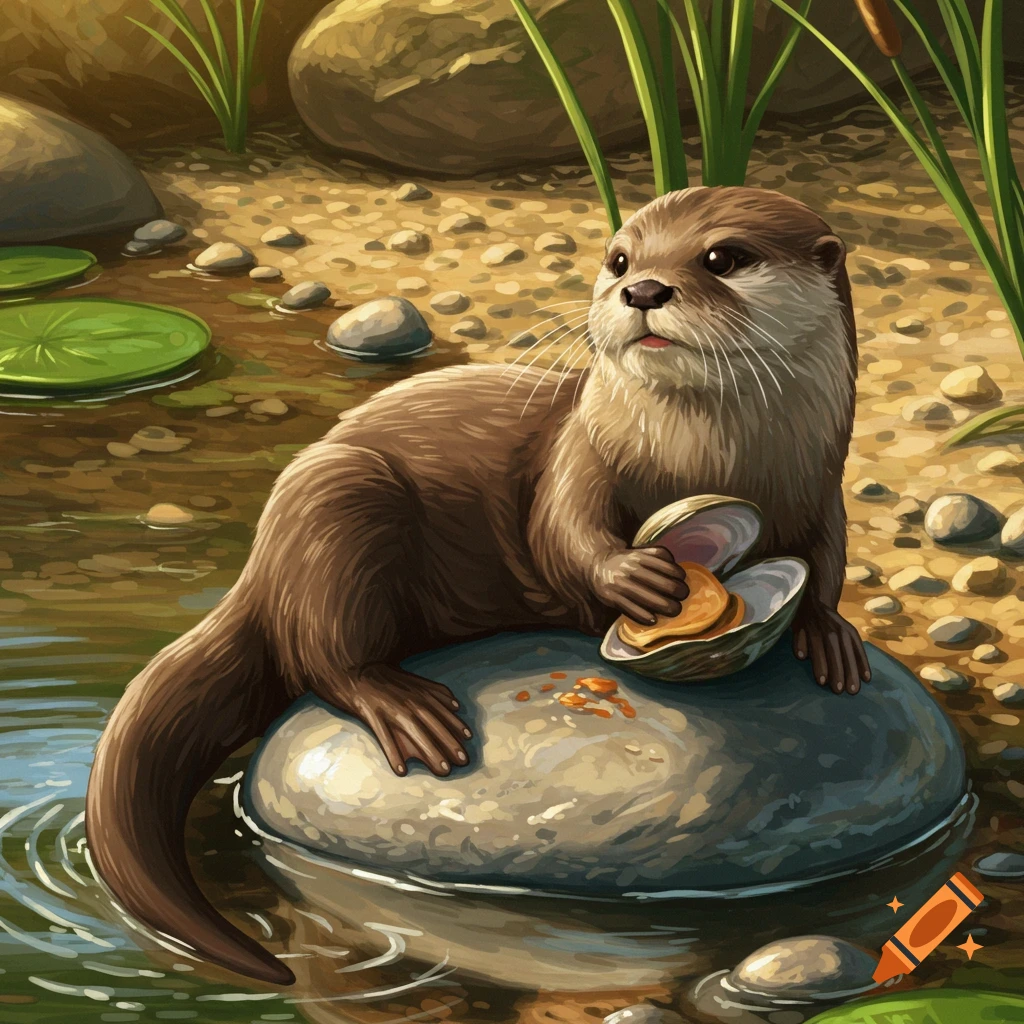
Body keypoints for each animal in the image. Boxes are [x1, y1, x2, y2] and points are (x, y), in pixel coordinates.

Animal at [86, 186, 869, 986]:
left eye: (723, 257)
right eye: (620, 259)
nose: (643, 290)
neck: (703, 457)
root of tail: (258, 569)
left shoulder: (822, 488)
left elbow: (828, 561)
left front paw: (830, 634)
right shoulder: (580, 450)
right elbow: (562, 531)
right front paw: (632, 576)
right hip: (336, 500)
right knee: (318, 652)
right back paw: (401, 704)